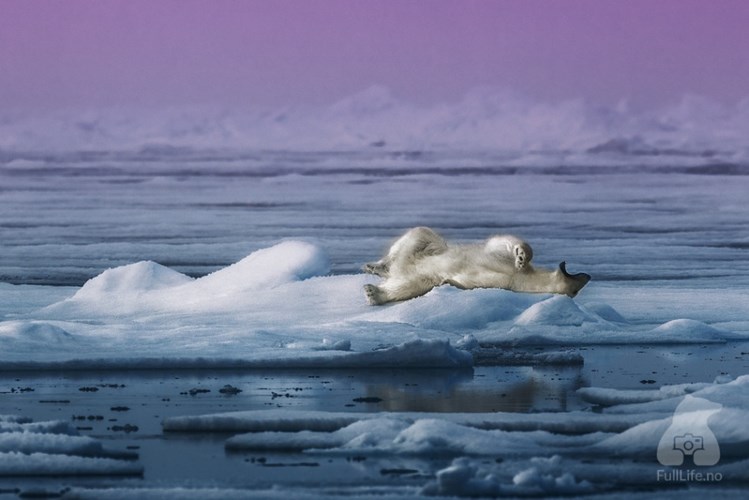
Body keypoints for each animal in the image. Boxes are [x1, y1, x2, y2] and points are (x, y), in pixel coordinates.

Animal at [362, 227, 592, 304]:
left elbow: (467, 282)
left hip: (415, 273)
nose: (588, 275)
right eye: (581, 281)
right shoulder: (504, 266)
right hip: (421, 249)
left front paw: (448, 282)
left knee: (410, 284)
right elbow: (499, 244)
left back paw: (374, 291)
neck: (526, 279)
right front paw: (521, 255)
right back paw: (376, 266)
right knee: (421, 233)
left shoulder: (504, 283)